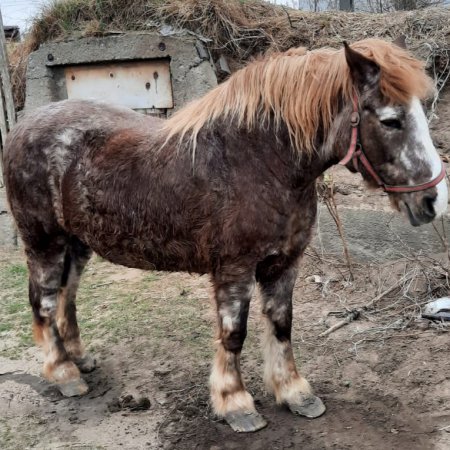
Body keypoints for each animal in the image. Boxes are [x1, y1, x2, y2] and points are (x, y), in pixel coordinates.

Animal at [2, 37, 446, 432]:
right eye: (391, 120)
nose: (433, 201)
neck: (259, 161)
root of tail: (23, 126)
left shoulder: (285, 264)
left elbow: (281, 326)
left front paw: (295, 393)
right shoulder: (234, 269)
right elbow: (234, 335)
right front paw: (236, 404)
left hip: (77, 245)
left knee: (67, 296)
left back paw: (80, 358)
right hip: (44, 243)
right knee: (43, 302)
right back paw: (64, 374)